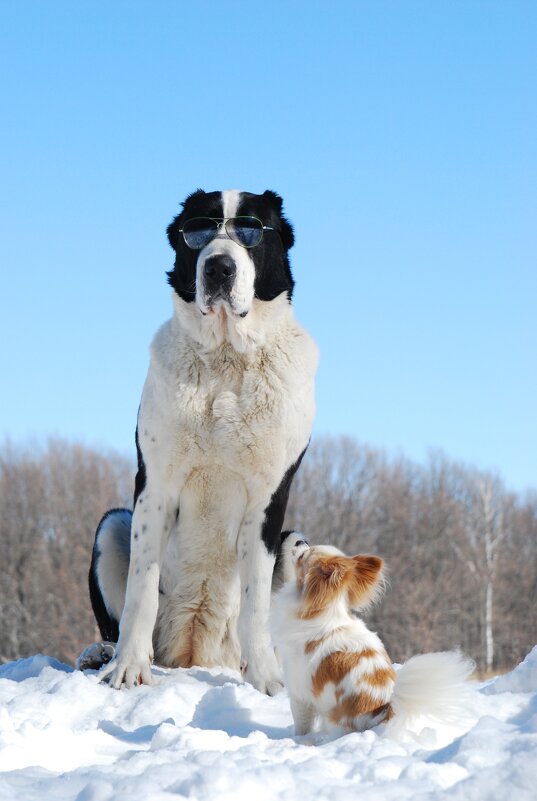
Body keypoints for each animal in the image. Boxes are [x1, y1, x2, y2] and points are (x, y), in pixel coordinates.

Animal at [86, 189, 316, 692]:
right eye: (198, 231)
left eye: (250, 230)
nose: (219, 268)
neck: (227, 356)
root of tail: (195, 652)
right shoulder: (155, 485)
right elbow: (140, 591)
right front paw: (129, 669)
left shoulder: (268, 498)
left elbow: (256, 601)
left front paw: (267, 683)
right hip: (112, 525)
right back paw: (102, 654)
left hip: (296, 543)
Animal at [270, 536, 472, 736]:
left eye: (303, 556)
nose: (301, 541)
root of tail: (383, 711)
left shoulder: (298, 691)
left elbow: (302, 725)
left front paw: (298, 740)